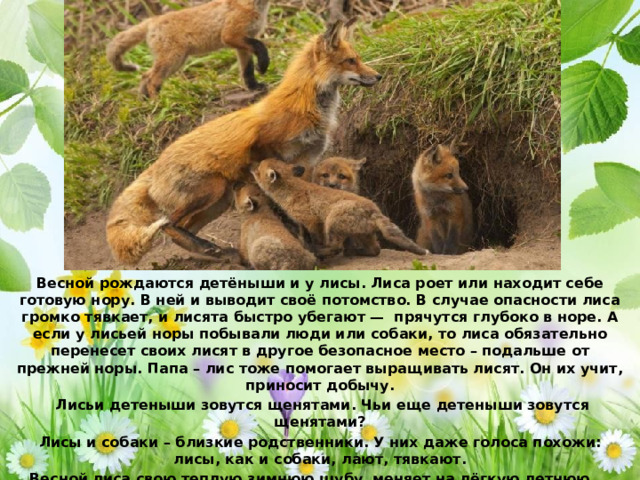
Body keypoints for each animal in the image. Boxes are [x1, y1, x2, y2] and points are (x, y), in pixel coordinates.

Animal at [106, 0, 271, 97]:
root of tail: (152, 20)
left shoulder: (243, 42)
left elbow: (247, 71)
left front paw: (254, 87)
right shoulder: (231, 35)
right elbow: (261, 46)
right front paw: (263, 65)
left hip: (176, 62)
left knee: (145, 76)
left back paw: (147, 102)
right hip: (172, 60)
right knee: (152, 80)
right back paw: (159, 101)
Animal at [106, 19, 381, 265]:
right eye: (351, 61)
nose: (378, 76)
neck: (306, 106)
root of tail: (154, 166)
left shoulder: (307, 162)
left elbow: (303, 207)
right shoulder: (264, 146)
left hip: (218, 201)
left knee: (180, 228)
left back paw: (211, 252)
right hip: (212, 190)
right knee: (169, 224)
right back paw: (208, 248)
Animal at [251, 158, 427, 258]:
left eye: (258, 169)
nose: (250, 166)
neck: (291, 190)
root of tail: (375, 211)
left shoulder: (312, 221)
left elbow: (316, 237)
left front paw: (313, 247)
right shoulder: (302, 223)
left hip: (332, 221)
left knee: (336, 247)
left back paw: (321, 252)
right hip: (363, 234)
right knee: (375, 250)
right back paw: (355, 252)